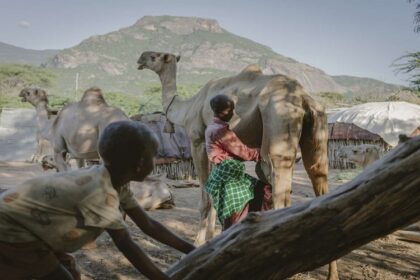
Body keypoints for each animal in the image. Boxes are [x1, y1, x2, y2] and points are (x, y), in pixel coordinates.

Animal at [138, 51, 338, 278]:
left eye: (154, 56)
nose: (140, 58)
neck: (188, 107)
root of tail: (304, 98)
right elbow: (214, 197)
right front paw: (211, 243)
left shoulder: (197, 139)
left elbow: (205, 199)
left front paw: (196, 247)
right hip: (318, 130)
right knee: (319, 178)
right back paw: (331, 274)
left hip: (278, 121)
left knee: (280, 188)